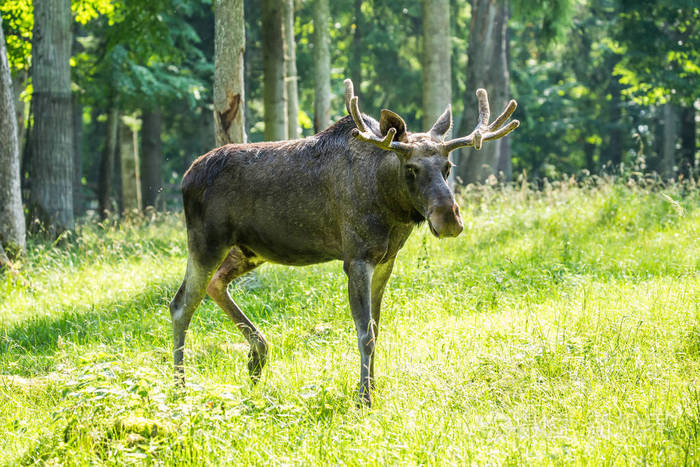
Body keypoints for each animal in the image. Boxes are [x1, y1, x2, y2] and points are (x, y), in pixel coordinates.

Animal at [170, 78, 519, 407]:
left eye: (448, 167)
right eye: (411, 169)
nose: (449, 219)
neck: (392, 209)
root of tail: (185, 178)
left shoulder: (386, 260)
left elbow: (377, 326)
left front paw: (373, 386)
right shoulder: (357, 258)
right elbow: (365, 333)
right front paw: (364, 397)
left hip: (248, 250)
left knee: (215, 284)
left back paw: (257, 356)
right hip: (207, 241)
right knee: (181, 304)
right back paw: (180, 387)